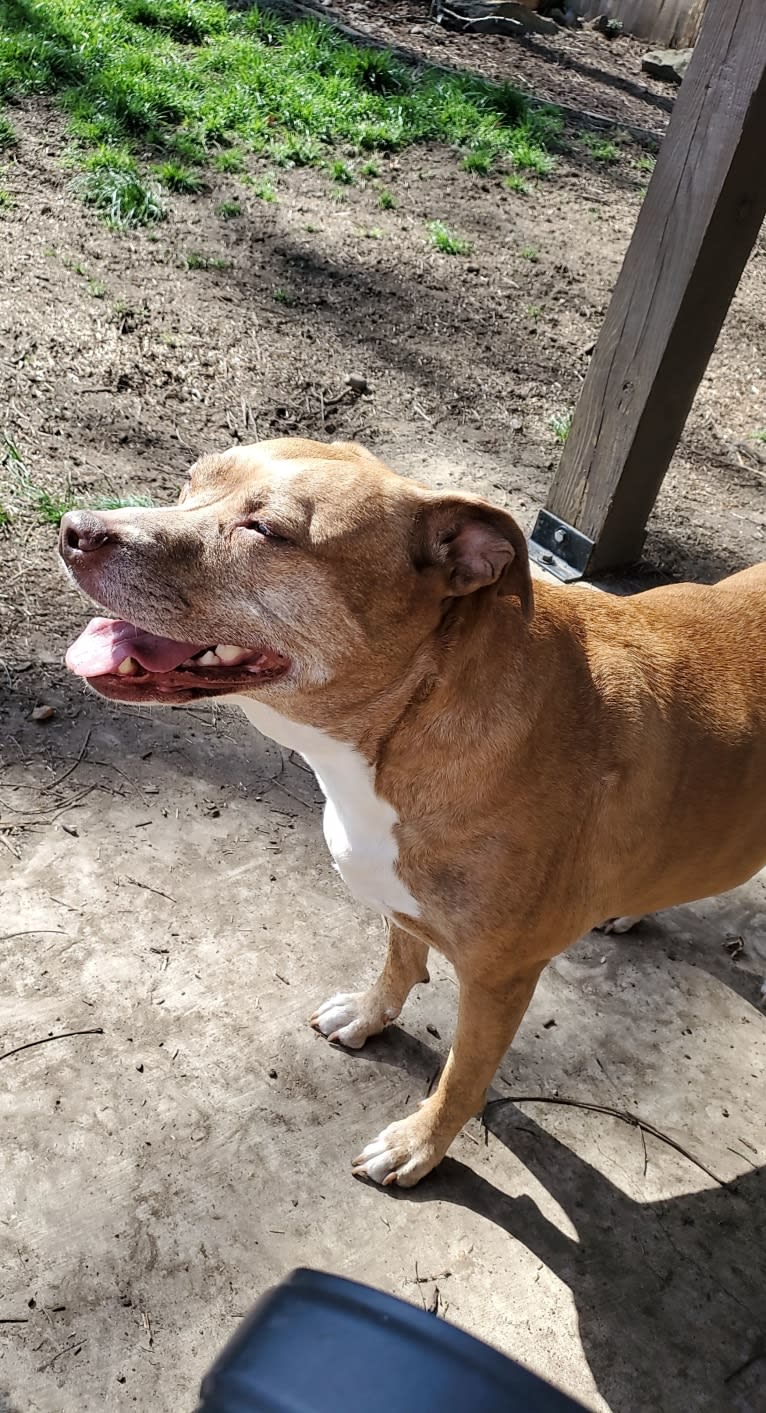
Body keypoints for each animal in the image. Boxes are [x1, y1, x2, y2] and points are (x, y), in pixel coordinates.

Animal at [61, 435, 766, 1186]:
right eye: (191, 482)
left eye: (267, 531)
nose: (75, 528)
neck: (409, 719)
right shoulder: (397, 901)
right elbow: (398, 963)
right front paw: (371, 1015)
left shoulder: (498, 981)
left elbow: (461, 1077)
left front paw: (418, 1145)